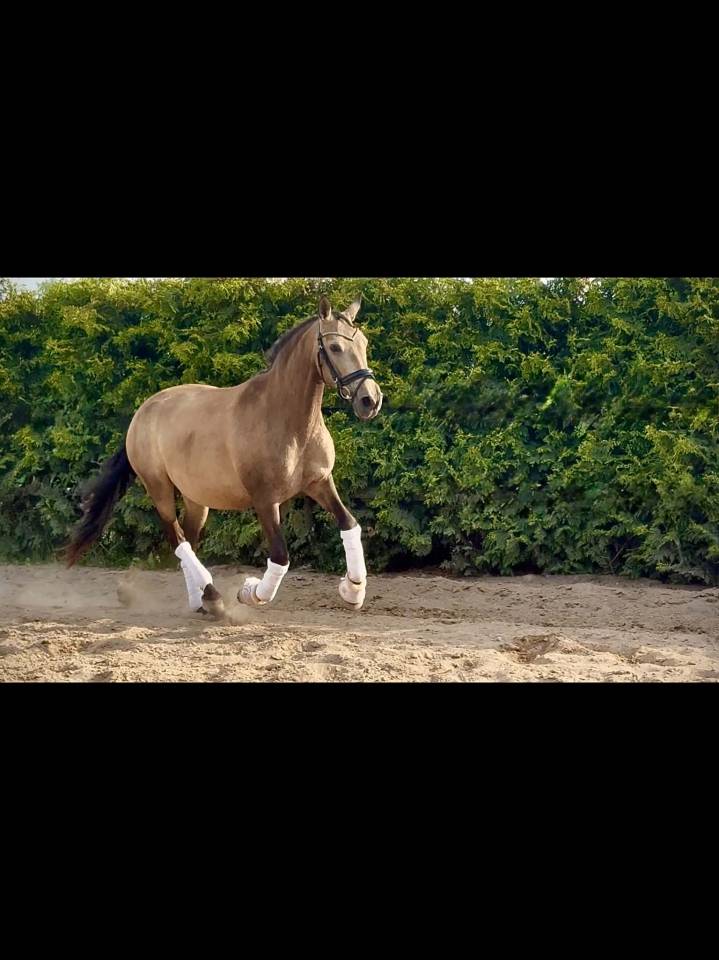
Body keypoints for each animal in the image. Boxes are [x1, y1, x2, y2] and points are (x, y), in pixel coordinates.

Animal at [65, 295, 383, 616]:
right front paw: (249, 592)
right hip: (158, 488)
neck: (288, 422)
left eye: (364, 343)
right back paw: (213, 596)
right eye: (335, 347)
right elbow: (280, 557)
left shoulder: (319, 482)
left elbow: (350, 524)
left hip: (196, 499)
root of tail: (142, 412)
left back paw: (198, 601)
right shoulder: (265, 499)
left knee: (188, 540)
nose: (370, 400)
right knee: (177, 538)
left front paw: (352, 590)